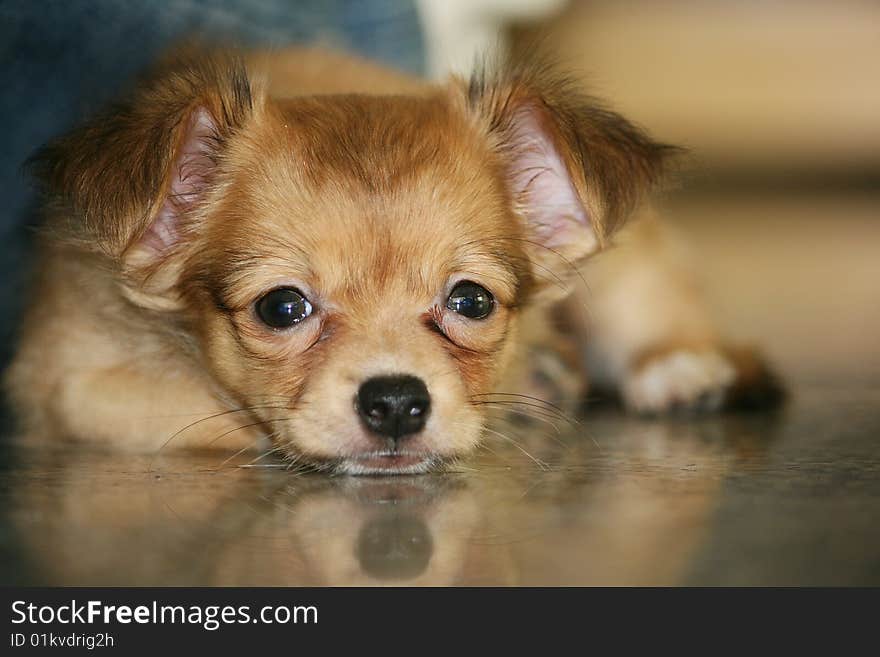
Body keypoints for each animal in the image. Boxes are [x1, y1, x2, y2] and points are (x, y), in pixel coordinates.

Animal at [5, 48, 776, 474]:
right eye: (282, 307)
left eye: (471, 300)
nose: (398, 402)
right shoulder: (65, 380)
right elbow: (203, 412)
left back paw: (679, 367)